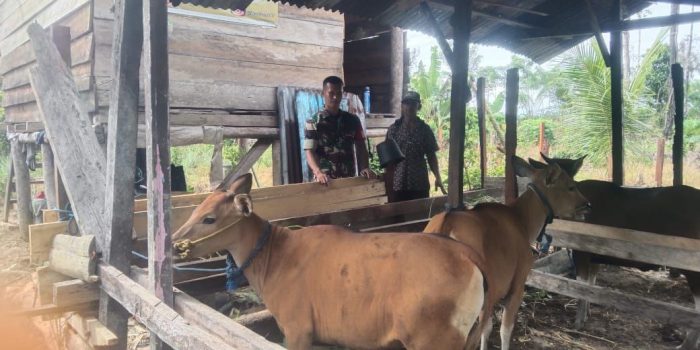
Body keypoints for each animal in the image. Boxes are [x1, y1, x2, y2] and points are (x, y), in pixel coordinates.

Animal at [171, 174, 486, 348]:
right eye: (195, 210)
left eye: (209, 218)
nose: (174, 243)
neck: (276, 256)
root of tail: (466, 254)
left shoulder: (297, 329)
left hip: (434, 341)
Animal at [424, 157, 588, 350]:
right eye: (571, 186)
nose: (587, 204)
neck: (521, 220)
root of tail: (446, 223)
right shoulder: (516, 287)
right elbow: (505, 329)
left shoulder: (492, 296)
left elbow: (486, 329)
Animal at [536, 154, 700, 348]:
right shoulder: (595, 256)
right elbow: (591, 284)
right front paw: (587, 314)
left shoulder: (581, 253)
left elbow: (581, 287)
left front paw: (578, 322)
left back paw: (687, 344)